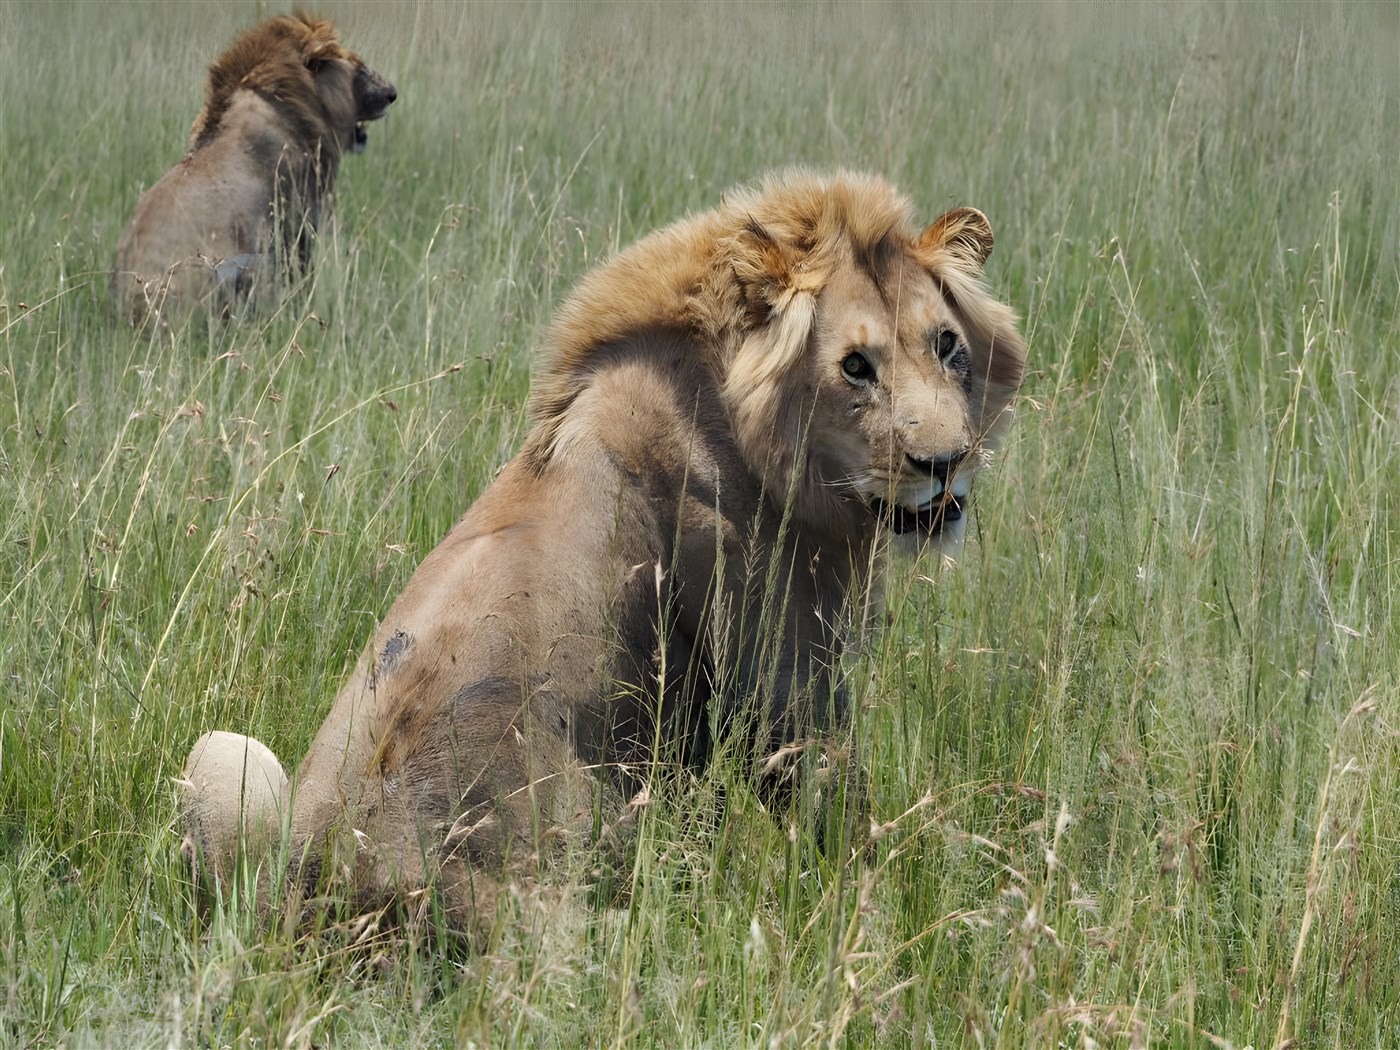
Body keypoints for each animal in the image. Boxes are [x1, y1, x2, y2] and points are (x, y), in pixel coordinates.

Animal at [111, 14, 396, 323]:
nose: (392, 93)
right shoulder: (297, 222)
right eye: (359, 67)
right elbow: (302, 277)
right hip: (237, 268)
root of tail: (130, 314)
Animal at [180, 171, 1026, 938]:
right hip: (589, 827)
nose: (946, 462)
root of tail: (326, 905)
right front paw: (888, 913)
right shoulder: (780, 669)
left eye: (947, 346)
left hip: (226, 756)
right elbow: (838, 810)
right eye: (855, 365)